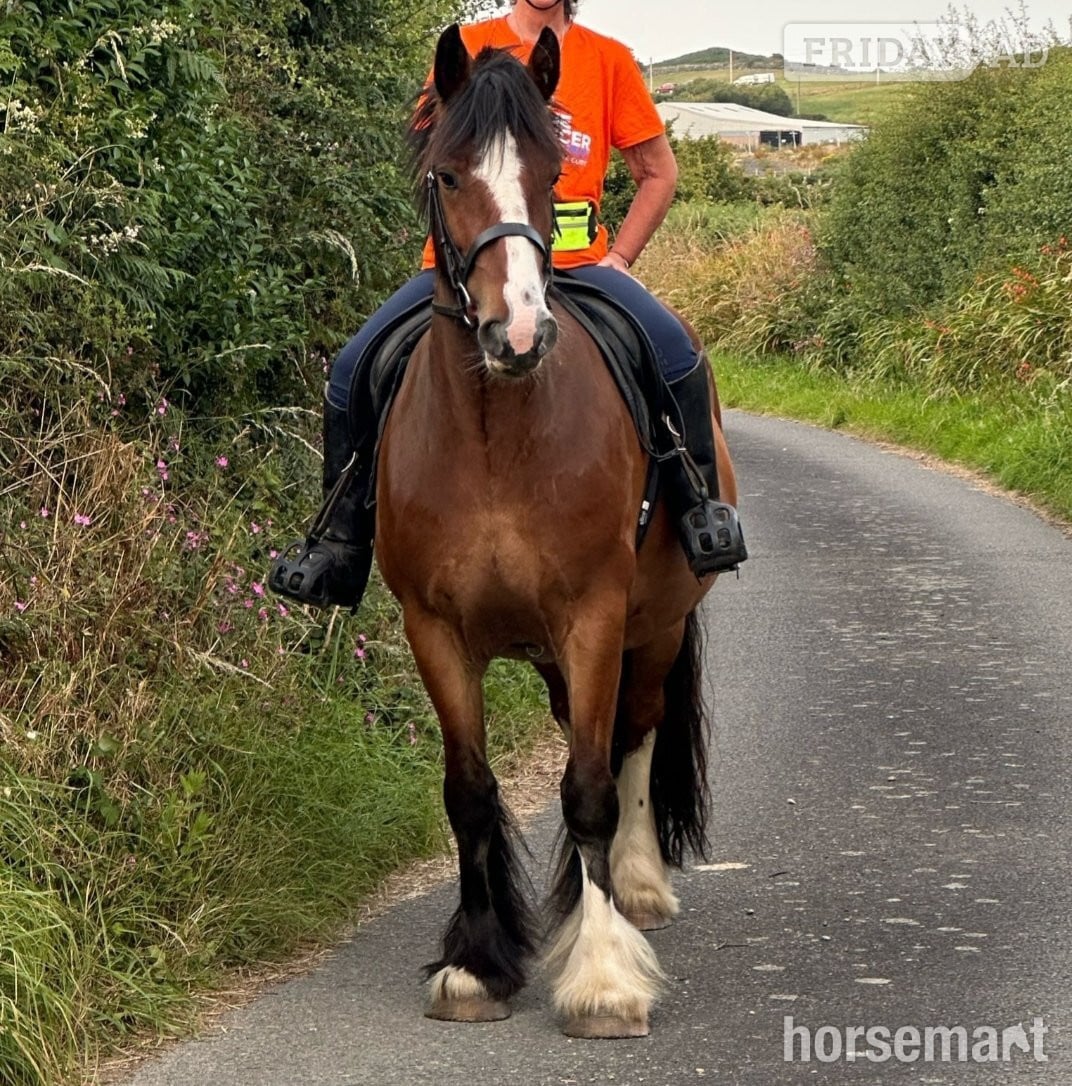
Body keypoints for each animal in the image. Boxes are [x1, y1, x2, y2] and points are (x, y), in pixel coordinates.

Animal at [374, 24, 740, 1039]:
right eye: (448, 173)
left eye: (548, 176)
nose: (519, 333)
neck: (498, 435)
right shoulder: (434, 628)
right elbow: (468, 791)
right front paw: (476, 964)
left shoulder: (595, 618)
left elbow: (590, 788)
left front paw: (605, 979)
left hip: (653, 627)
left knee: (634, 739)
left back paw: (636, 888)